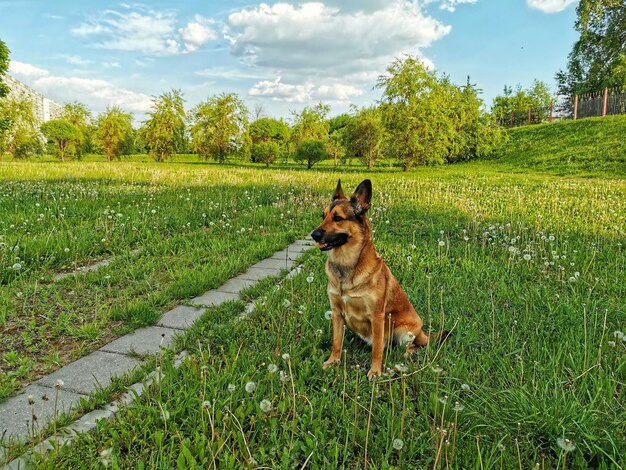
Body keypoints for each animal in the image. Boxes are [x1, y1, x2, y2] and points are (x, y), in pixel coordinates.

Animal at [310, 178, 446, 380]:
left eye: (338, 218)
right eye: (323, 216)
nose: (313, 235)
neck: (347, 264)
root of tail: (423, 331)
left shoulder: (377, 316)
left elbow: (377, 350)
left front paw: (375, 371)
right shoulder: (336, 313)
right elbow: (336, 342)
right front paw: (333, 361)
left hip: (405, 331)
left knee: (418, 345)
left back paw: (407, 353)